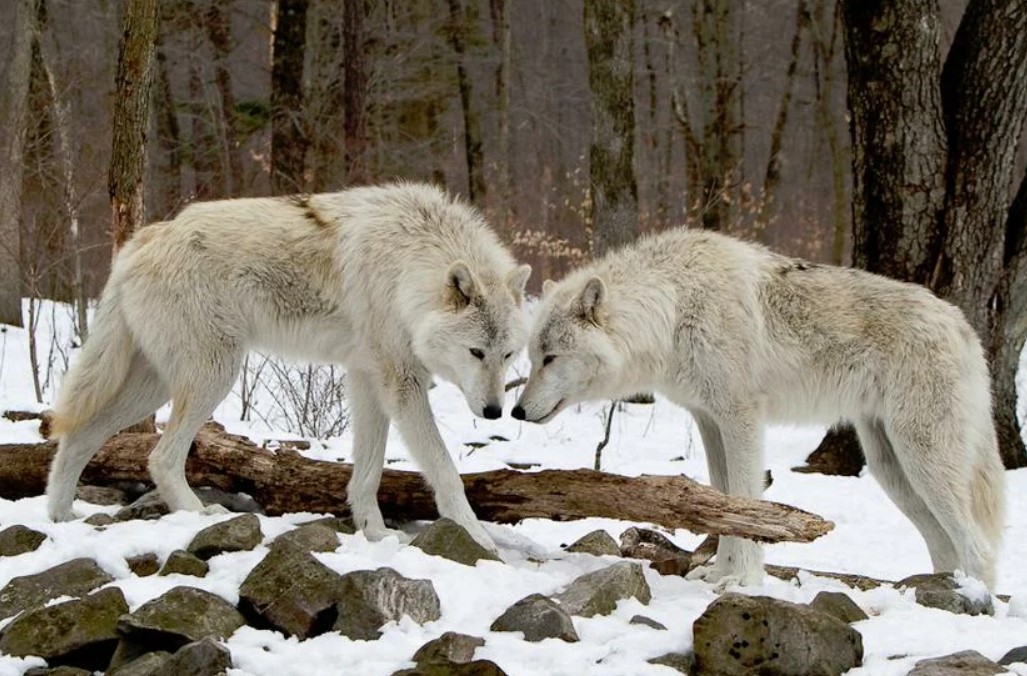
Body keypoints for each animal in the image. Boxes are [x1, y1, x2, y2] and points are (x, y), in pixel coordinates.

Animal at [46, 181, 529, 550]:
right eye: (476, 353)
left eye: (507, 355)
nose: (494, 412)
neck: (406, 263)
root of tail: (143, 240)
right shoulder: (401, 382)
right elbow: (445, 470)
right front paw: (479, 540)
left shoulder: (368, 378)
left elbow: (368, 472)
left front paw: (373, 533)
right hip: (213, 376)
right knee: (161, 457)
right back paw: (200, 516)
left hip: (154, 386)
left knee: (79, 435)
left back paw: (60, 516)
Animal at [511, 226, 1002, 583]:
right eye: (532, 357)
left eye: (550, 357)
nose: (516, 411)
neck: (674, 309)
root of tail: (963, 325)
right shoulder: (708, 420)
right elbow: (724, 501)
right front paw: (720, 575)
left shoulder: (740, 417)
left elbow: (746, 499)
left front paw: (742, 582)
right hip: (891, 469)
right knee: (944, 544)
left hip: (922, 459)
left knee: (979, 546)